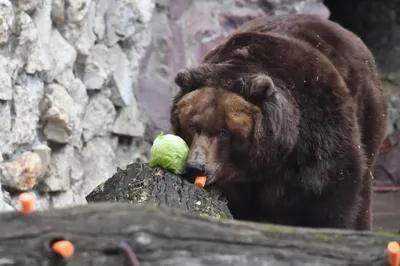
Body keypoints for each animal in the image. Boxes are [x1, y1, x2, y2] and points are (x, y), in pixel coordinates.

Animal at [168, 13, 388, 230]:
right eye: (192, 126)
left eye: (224, 132)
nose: (196, 167)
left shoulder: (320, 134)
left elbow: (333, 200)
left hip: (367, 111)